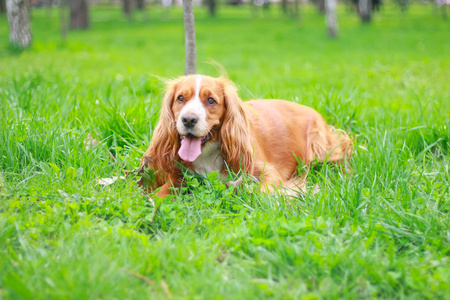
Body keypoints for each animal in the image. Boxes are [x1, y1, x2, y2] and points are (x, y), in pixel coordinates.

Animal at [141, 74, 352, 198]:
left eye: (211, 100)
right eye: (180, 98)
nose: (188, 119)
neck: (208, 153)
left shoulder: (265, 170)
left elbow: (262, 192)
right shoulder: (180, 176)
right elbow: (159, 195)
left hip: (321, 149)